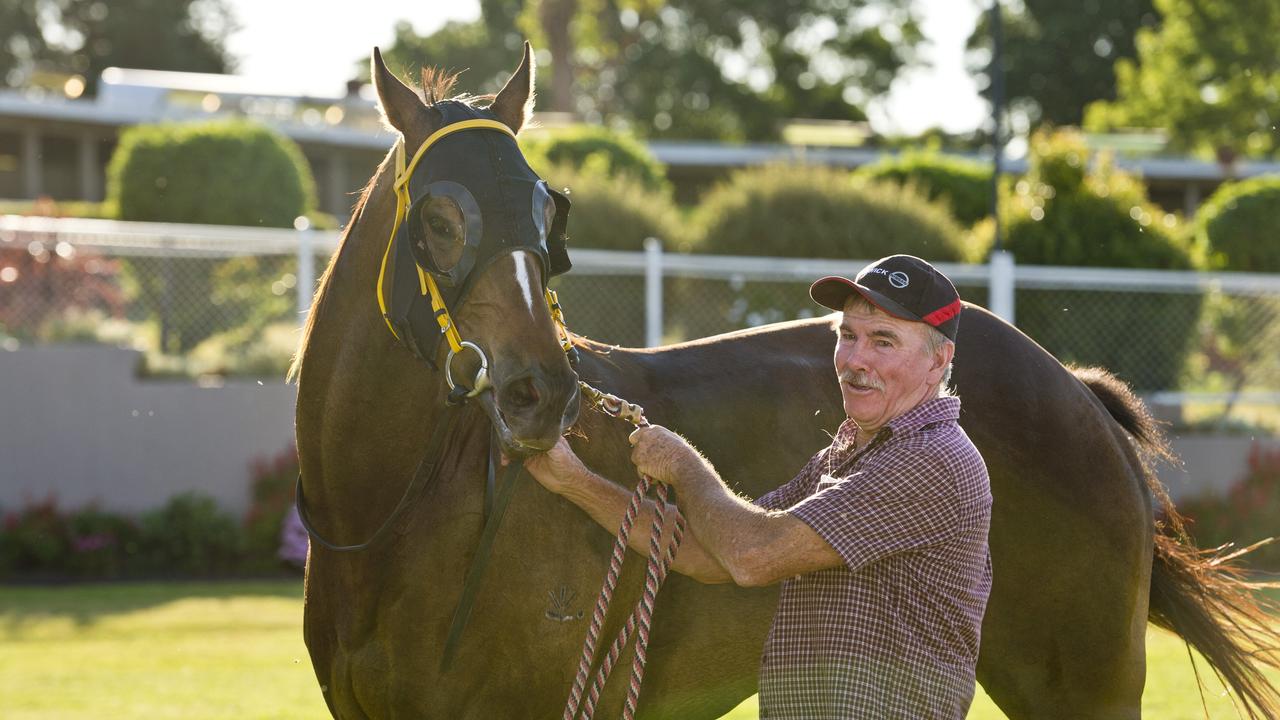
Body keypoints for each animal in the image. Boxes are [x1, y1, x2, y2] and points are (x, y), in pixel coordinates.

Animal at [293, 47, 1280, 712]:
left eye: (547, 209)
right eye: (438, 217)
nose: (542, 395)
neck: (392, 519)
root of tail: (1076, 393)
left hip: (1084, 688)